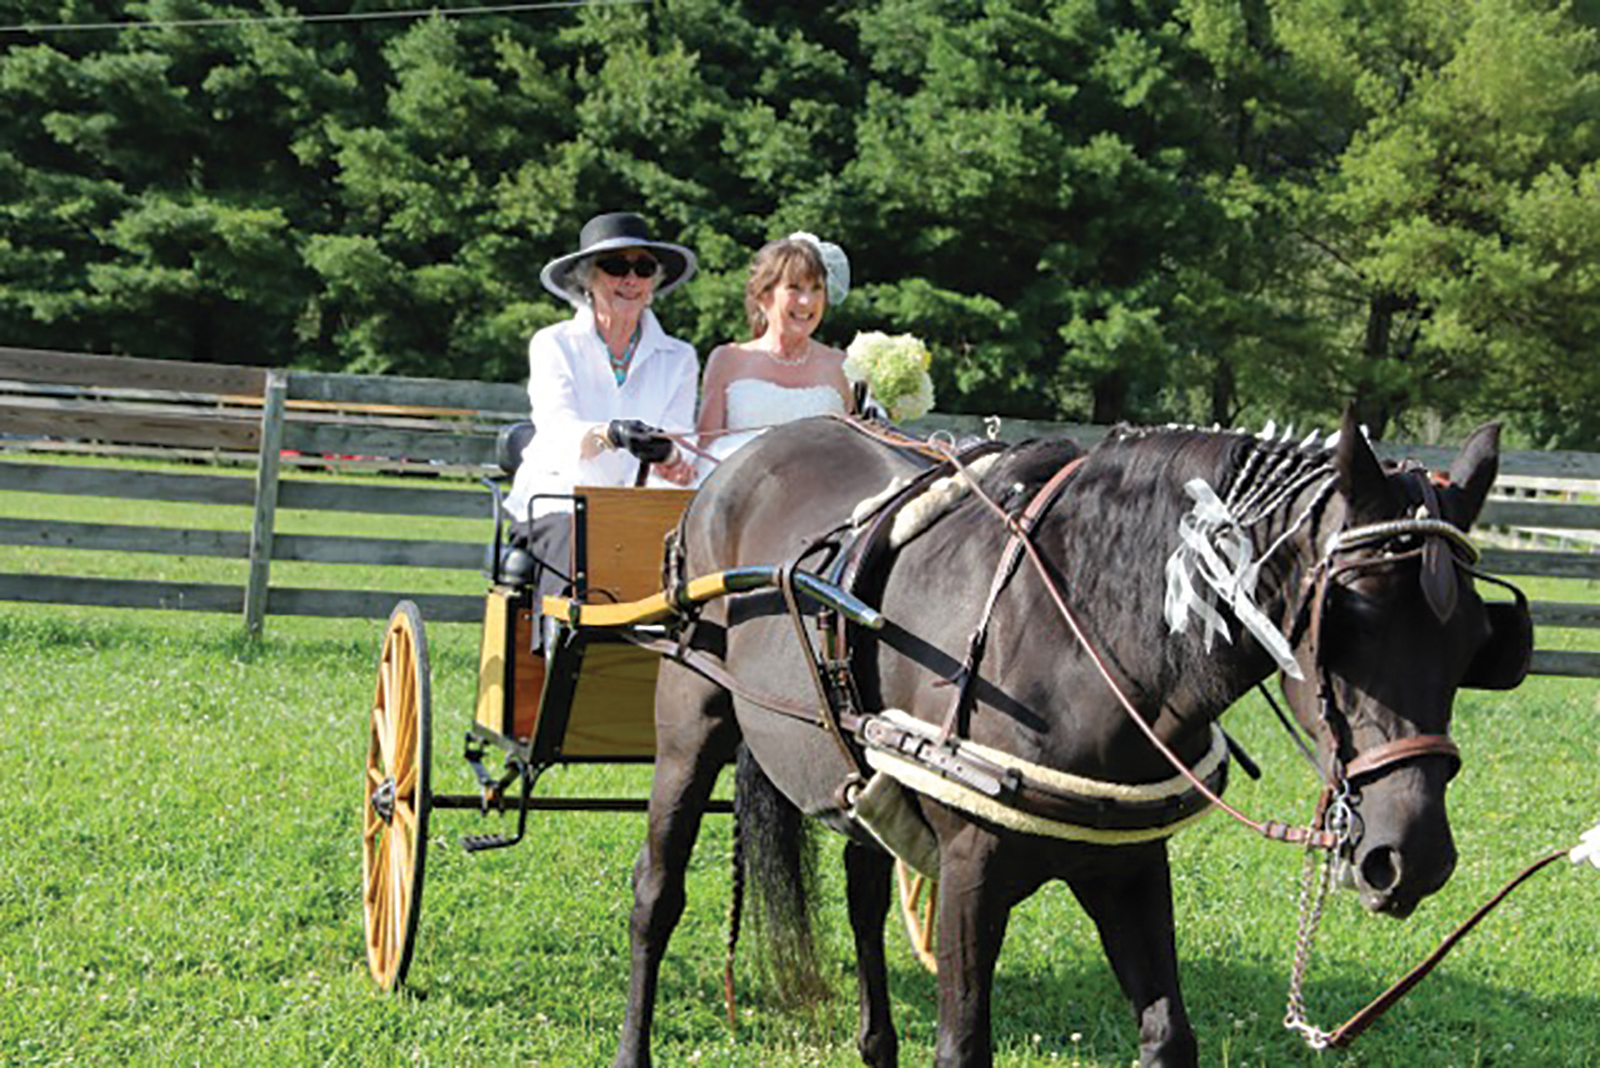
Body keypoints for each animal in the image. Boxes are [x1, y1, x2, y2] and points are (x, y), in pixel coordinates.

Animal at [608, 412, 1523, 1068]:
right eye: (1350, 619)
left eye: (1479, 640)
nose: (1412, 856)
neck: (1079, 632)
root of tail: (744, 455)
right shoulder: (972, 870)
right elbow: (963, 1045)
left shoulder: (1128, 866)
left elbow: (1168, 1035)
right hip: (691, 720)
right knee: (658, 892)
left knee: (864, 895)